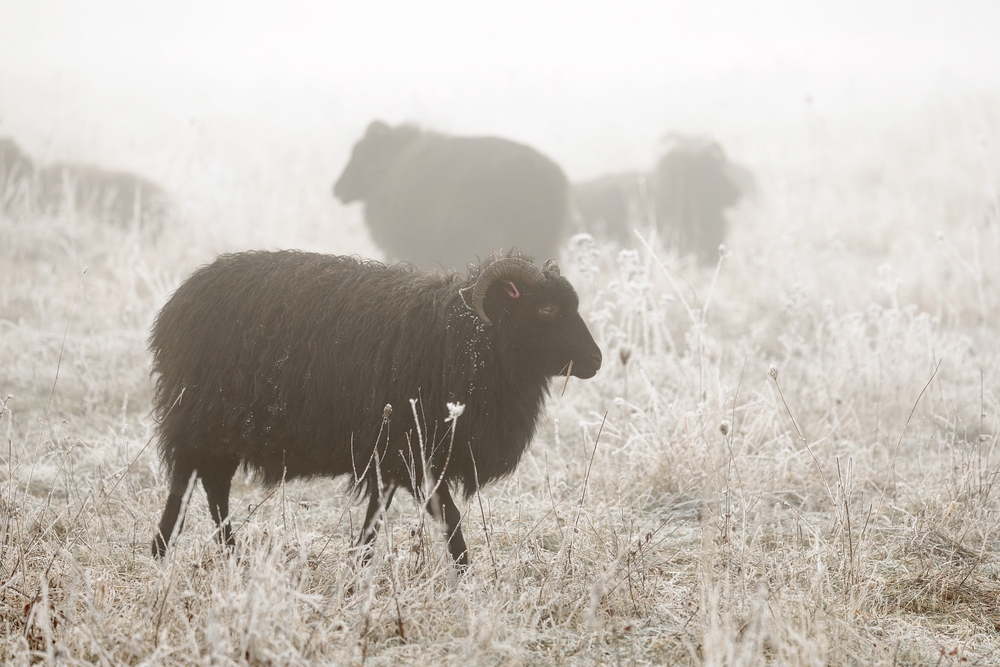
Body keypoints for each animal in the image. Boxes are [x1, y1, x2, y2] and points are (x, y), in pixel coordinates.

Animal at [149, 250, 602, 567]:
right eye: (546, 309)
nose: (596, 360)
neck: (463, 339)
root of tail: (174, 309)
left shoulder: (392, 455)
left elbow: (377, 514)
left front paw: (358, 564)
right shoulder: (413, 452)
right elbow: (449, 517)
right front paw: (466, 574)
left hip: (220, 431)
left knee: (213, 489)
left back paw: (230, 556)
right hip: (201, 419)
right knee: (187, 485)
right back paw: (161, 552)